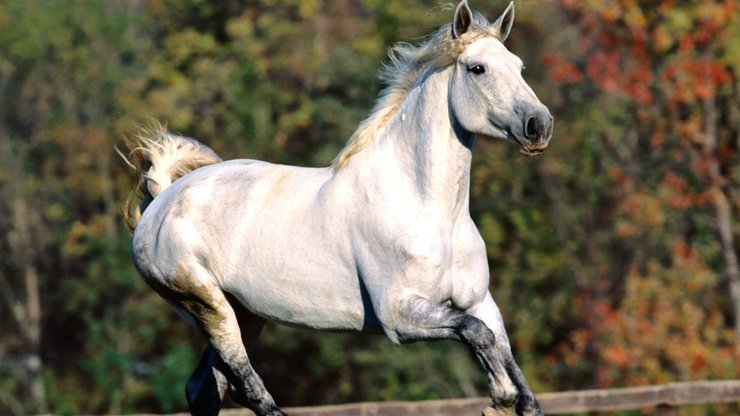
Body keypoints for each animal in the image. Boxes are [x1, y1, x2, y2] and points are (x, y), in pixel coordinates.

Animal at [127, 1, 552, 414]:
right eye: (477, 68)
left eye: (519, 66)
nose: (539, 126)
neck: (431, 211)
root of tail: (163, 199)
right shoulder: (399, 316)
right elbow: (477, 335)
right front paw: (500, 397)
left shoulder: (479, 301)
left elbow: (510, 365)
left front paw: (509, 396)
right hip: (207, 304)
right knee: (247, 388)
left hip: (244, 313)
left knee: (205, 388)